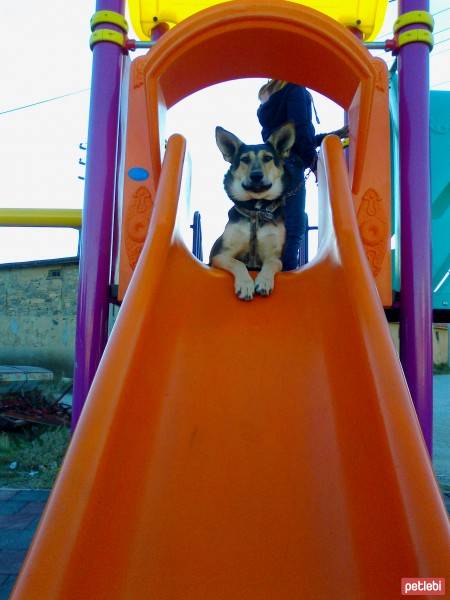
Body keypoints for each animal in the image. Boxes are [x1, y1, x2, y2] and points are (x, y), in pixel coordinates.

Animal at [209, 122, 300, 300]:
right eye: (245, 159)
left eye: (268, 158)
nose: (256, 175)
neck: (256, 209)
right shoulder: (220, 255)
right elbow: (237, 262)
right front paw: (245, 285)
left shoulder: (275, 255)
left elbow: (272, 262)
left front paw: (263, 281)